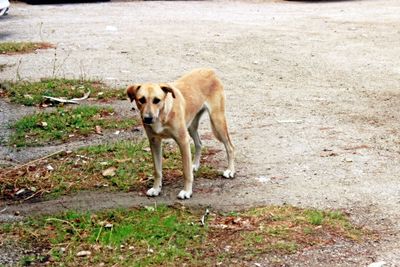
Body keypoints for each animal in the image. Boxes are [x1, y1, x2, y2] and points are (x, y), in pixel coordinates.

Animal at [127, 68, 234, 199]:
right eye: (141, 100)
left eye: (157, 100)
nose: (147, 118)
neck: (162, 115)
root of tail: (210, 70)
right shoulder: (154, 142)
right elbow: (157, 170)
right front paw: (156, 188)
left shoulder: (183, 141)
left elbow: (186, 172)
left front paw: (187, 191)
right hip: (191, 126)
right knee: (199, 143)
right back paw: (195, 164)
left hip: (217, 121)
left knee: (230, 146)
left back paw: (230, 170)